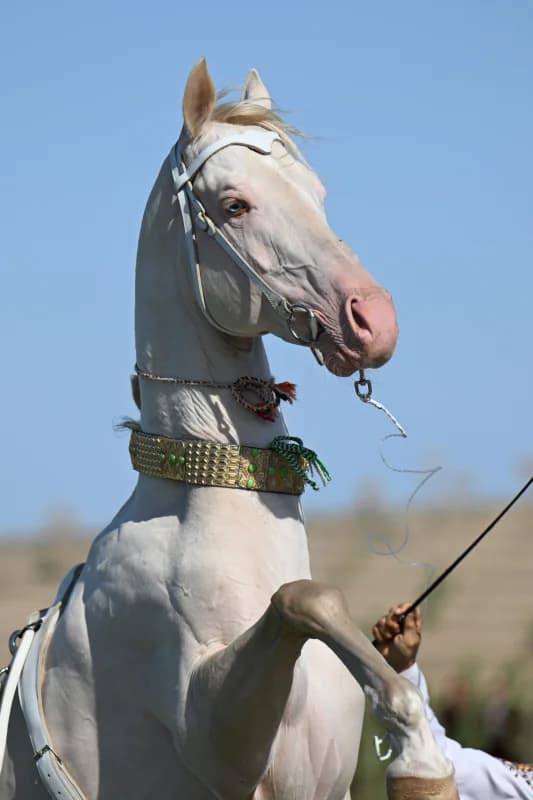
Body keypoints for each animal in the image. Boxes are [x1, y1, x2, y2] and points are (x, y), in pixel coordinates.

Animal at [0, 60, 459, 800]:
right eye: (235, 204)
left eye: (317, 193)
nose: (373, 319)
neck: (207, 499)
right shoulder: (214, 734)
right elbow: (305, 598)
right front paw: (418, 755)